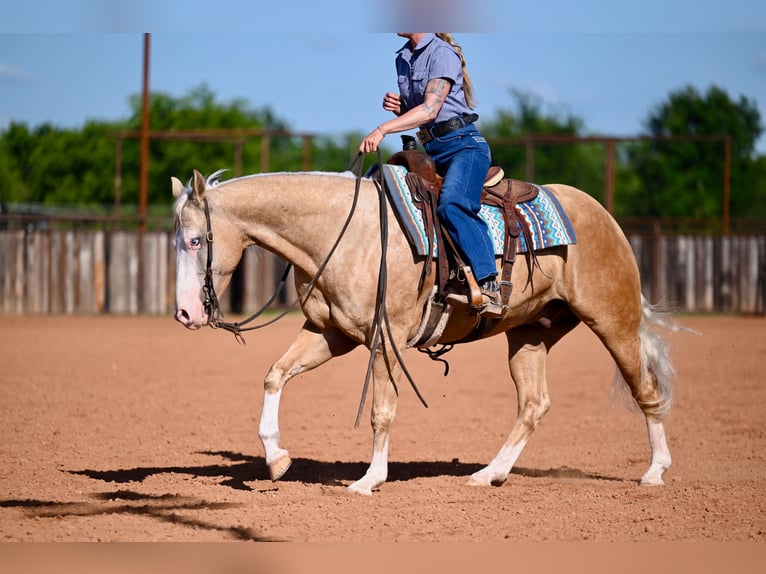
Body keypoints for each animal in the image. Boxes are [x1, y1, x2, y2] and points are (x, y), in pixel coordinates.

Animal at [171, 166, 677, 495]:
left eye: (195, 240)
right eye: (176, 241)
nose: (185, 313)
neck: (345, 233)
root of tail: (602, 215)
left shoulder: (385, 339)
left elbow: (381, 411)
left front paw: (369, 480)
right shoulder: (329, 333)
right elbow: (274, 375)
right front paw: (277, 459)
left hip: (613, 320)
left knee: (646, 390)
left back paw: (654, 472)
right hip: (530, 334)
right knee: (534, 405)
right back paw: (488, 474)